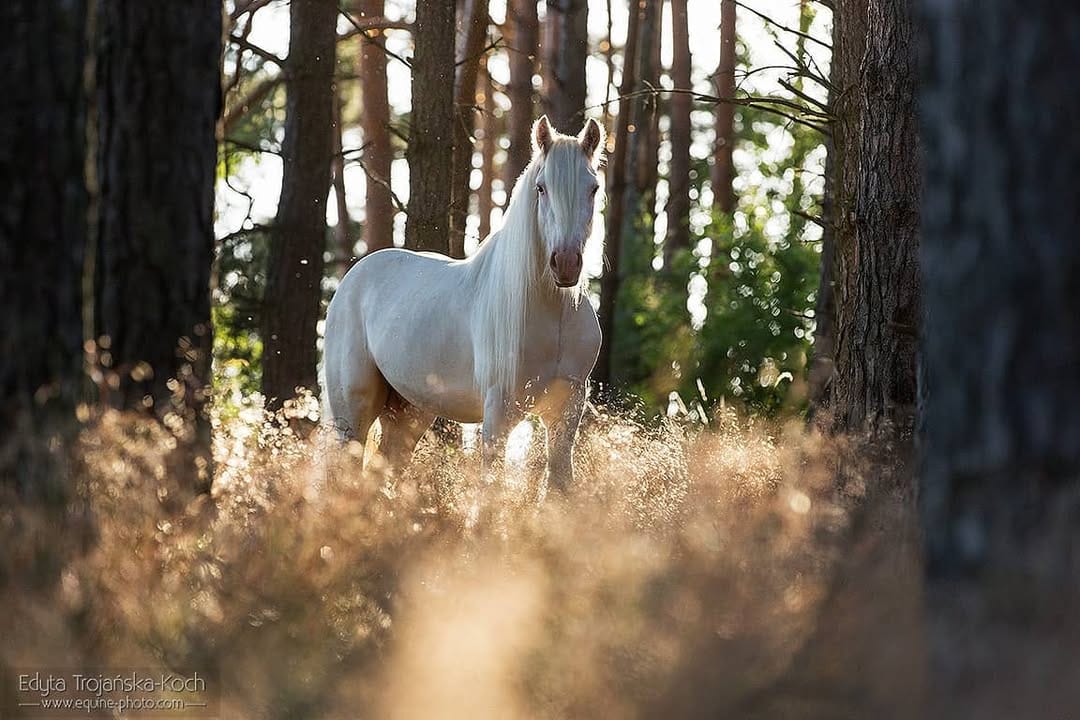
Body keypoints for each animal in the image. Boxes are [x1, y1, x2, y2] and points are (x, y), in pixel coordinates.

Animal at [322, 115, 605, 492]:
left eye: (593, 188)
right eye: (541, 188)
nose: (566, 264)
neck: (551, 315)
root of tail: (351, 280)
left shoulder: (567, 409)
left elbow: (560, 485)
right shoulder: (498, 413)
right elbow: (491, 491)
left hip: (409, 412)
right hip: (353, 411)